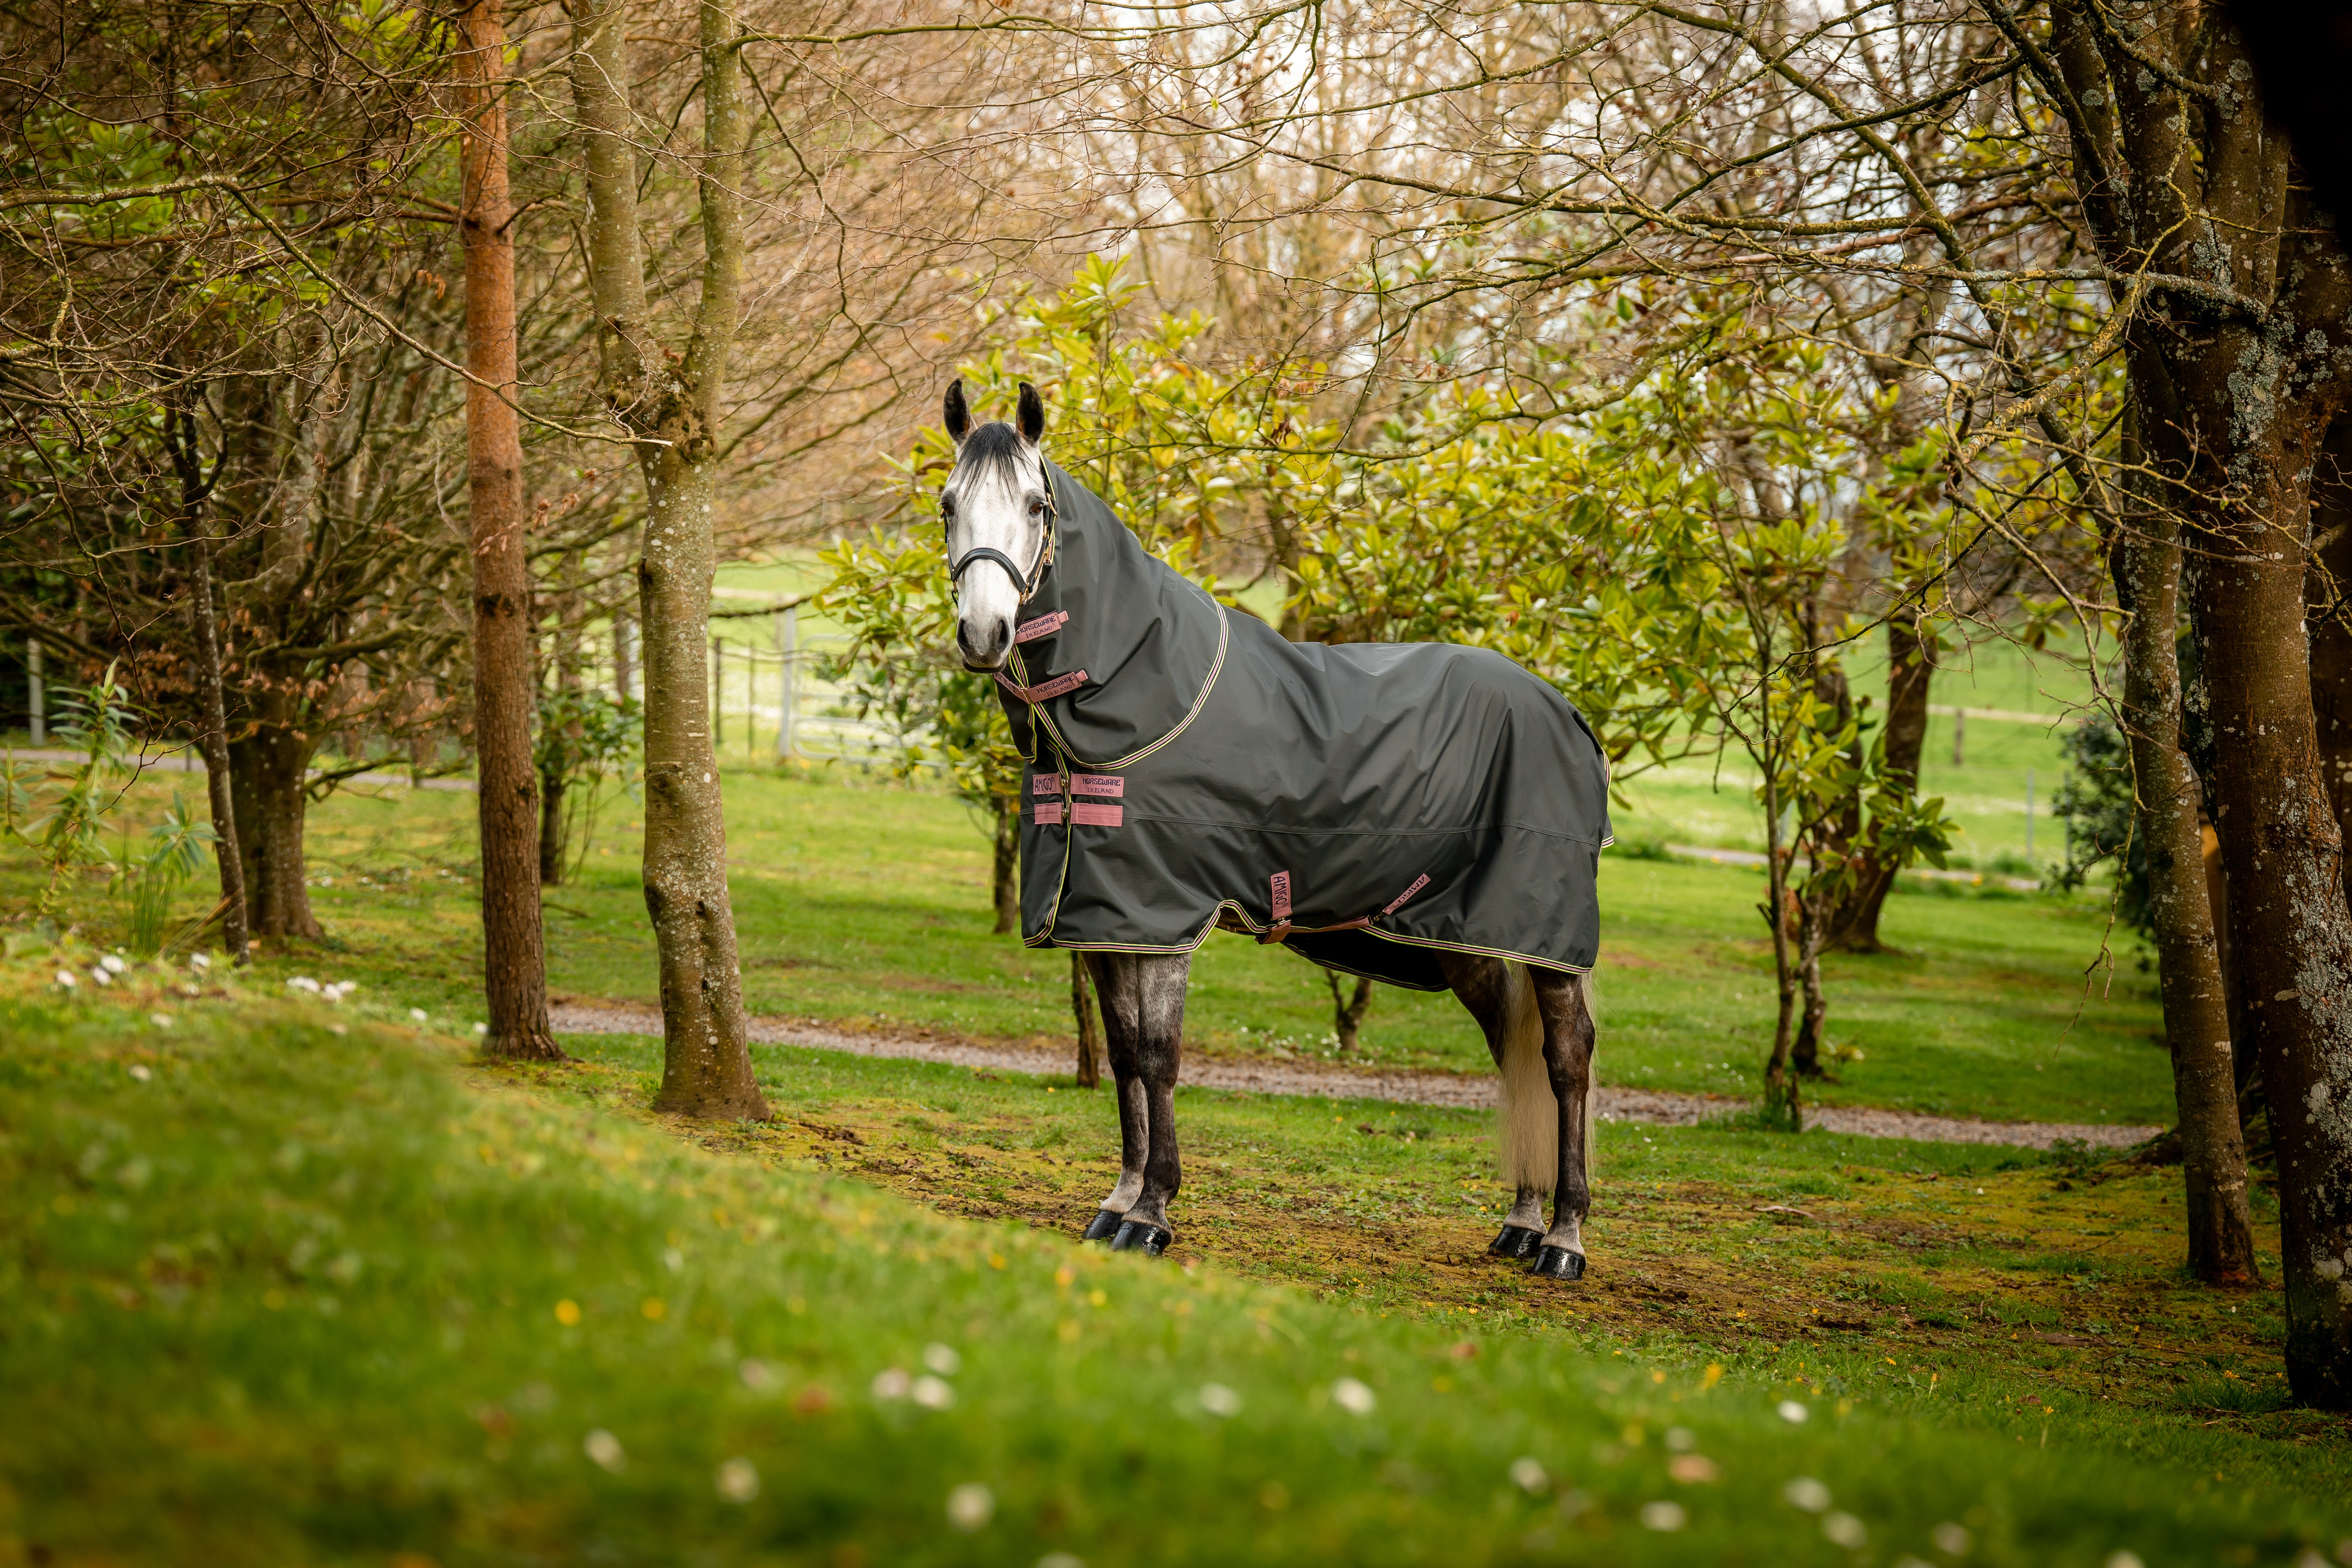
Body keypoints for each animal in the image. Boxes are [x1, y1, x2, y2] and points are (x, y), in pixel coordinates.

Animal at [940, 379, 1610, 1280]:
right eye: (948, 505)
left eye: (1036, 505)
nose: (986, 635)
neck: (1142, 685)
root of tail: (1564, 711)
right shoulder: (1108, 919)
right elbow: (1121, 1054)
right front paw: (1116, 1201)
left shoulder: (1165, 920)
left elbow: (1158, 1057)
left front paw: (1151, 1215)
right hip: (1461, 935)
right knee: (1514, 1049)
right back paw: (1521, 1222)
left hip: (1545, 936)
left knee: (1565, 1060)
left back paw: (1565, 1240)